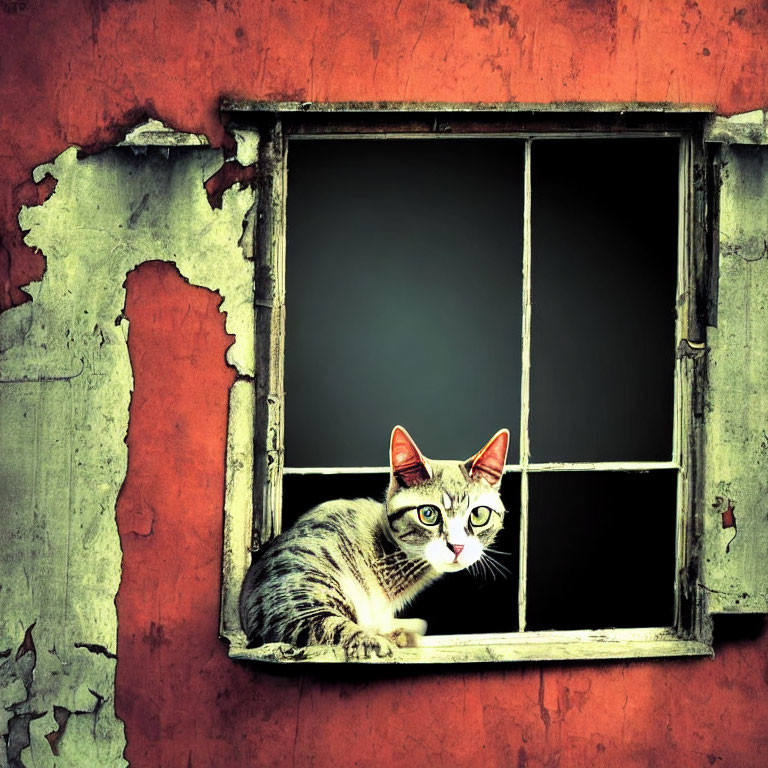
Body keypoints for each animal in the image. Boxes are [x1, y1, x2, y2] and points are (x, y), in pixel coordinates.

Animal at [237, 426, 508, 660]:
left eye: (478, 515)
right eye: (428, 514)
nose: (457, 547)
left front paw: (399, 633)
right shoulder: (283, 602)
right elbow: (324, 625)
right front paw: (371, 641)